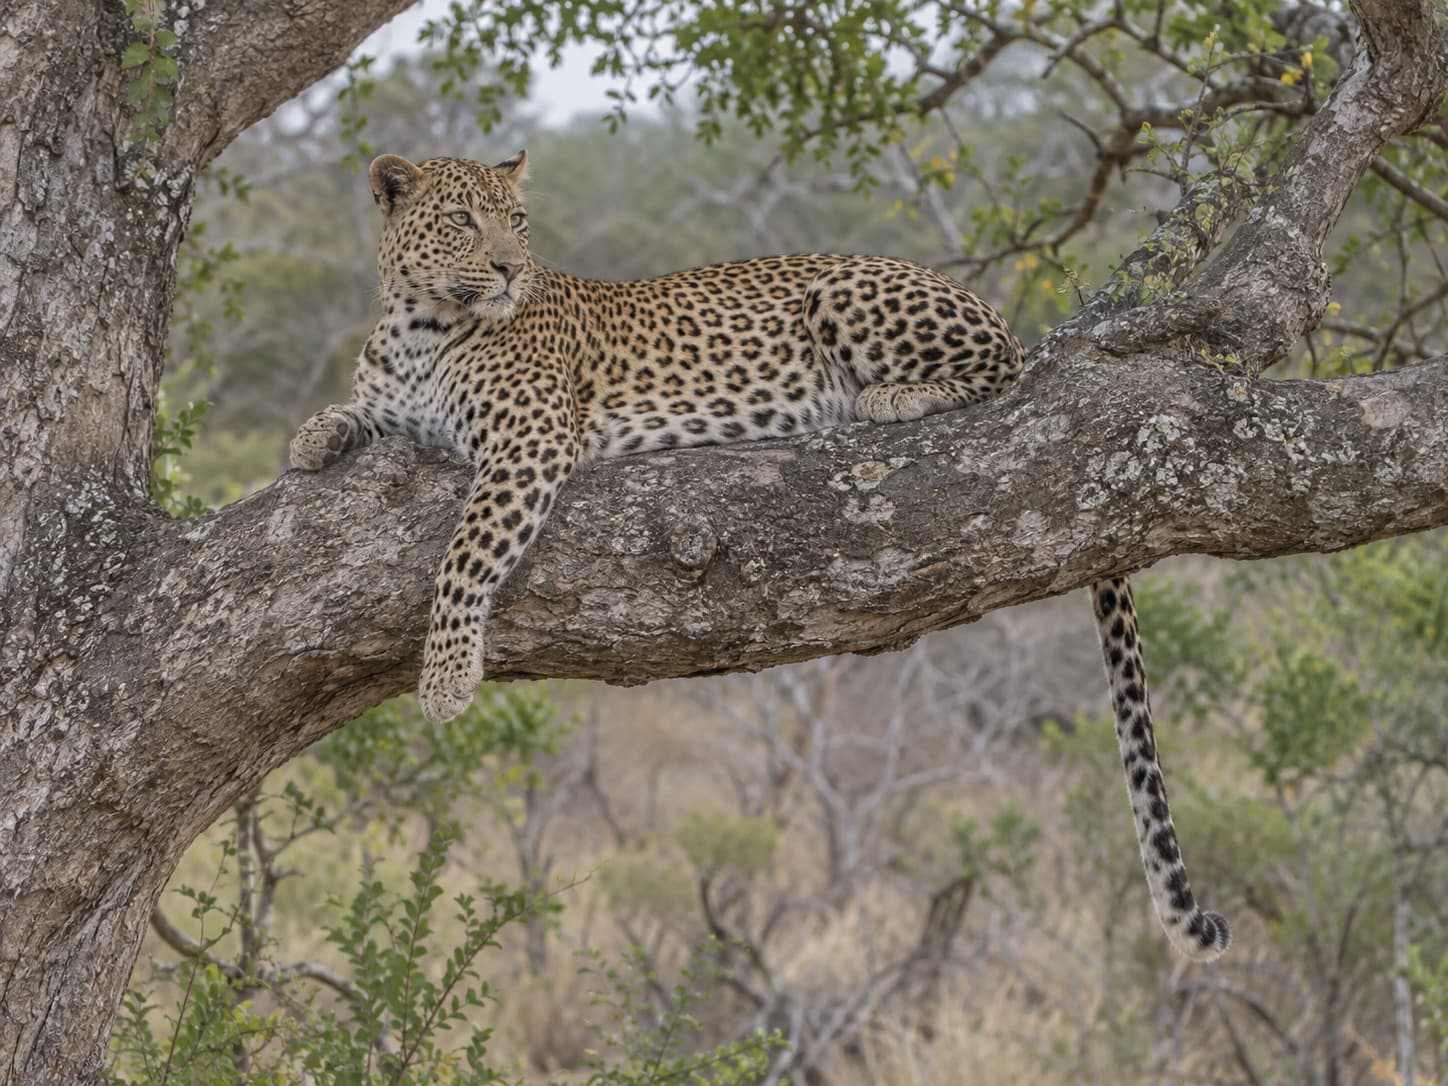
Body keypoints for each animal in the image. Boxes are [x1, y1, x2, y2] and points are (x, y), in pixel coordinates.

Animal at [290, 151, 1231, 963]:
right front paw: (311, 439)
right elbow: (350, 409)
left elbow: (467, 552)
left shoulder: (529, 442)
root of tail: (982, 300)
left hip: (846, 294)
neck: (418, 327)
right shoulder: (402, 404)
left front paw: (446, 677)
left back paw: (889, 396)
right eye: (461, 219)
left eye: (516, 221)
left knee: (1003, 374)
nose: (511, 269)